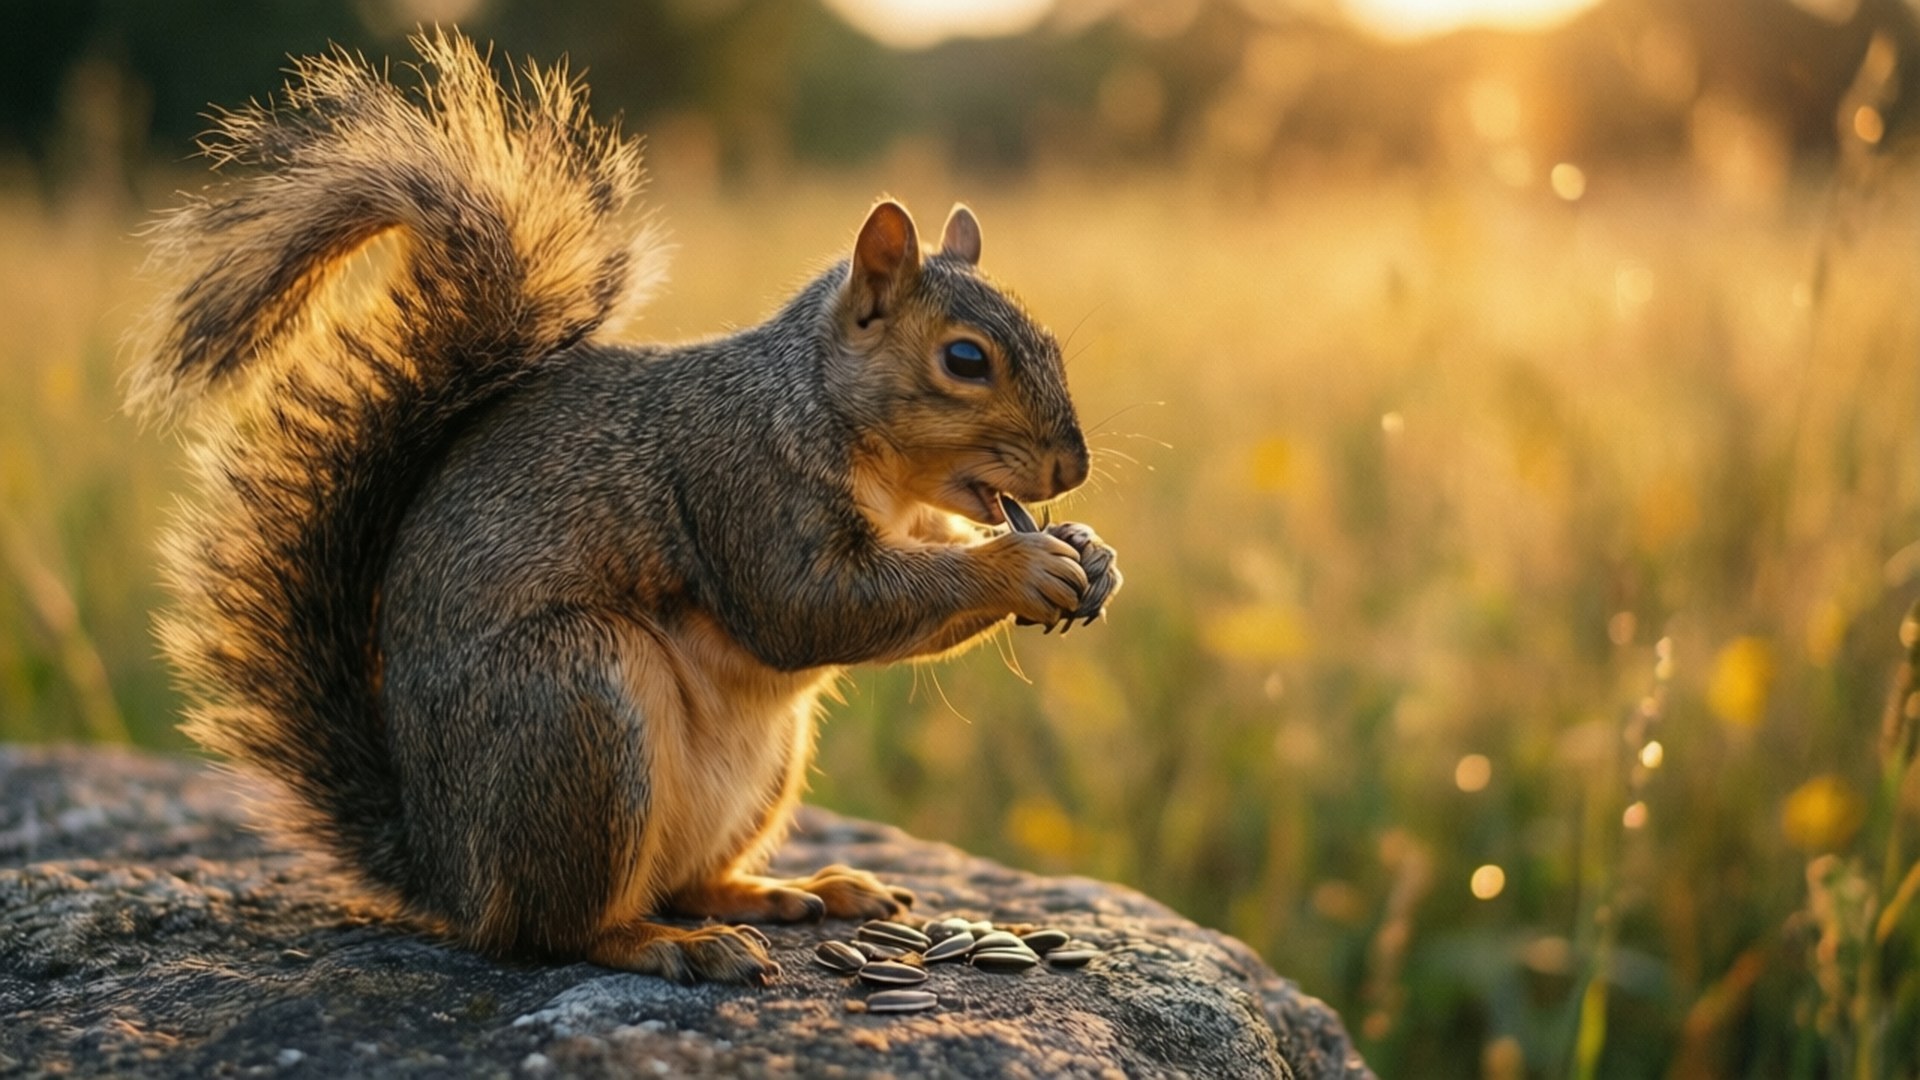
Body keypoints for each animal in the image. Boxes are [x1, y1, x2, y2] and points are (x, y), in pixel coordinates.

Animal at [127, 30, 1120, 984]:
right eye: (965, 359)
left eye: (1043, 335)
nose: (1071, 465)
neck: (823, 409)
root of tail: (443, 870)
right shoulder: (740, 481)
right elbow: (807, 608)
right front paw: (1020, 563)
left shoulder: (906, 518)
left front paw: (1093, 553)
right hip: (576, 703)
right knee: (555, 930)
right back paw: (671, 946)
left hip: (758, 765)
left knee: (684, 883)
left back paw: (789, 891)